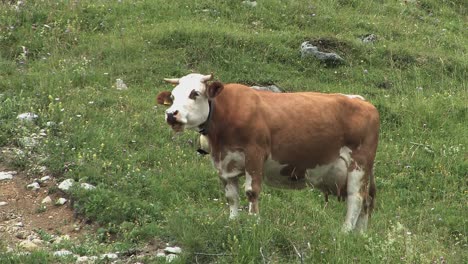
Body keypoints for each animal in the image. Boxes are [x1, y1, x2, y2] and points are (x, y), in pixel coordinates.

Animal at [157, 73, 380, 232]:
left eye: (194, 93)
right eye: (173, 96)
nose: (171, 114)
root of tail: (363, 101)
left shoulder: (255, 154)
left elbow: (251, 191)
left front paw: (254, 222)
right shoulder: (224, 162)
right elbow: (231, 196)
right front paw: (233, 221)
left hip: (358, 165)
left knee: (356, 198)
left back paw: (345, 233)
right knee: (367, 202)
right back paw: (361, 236)